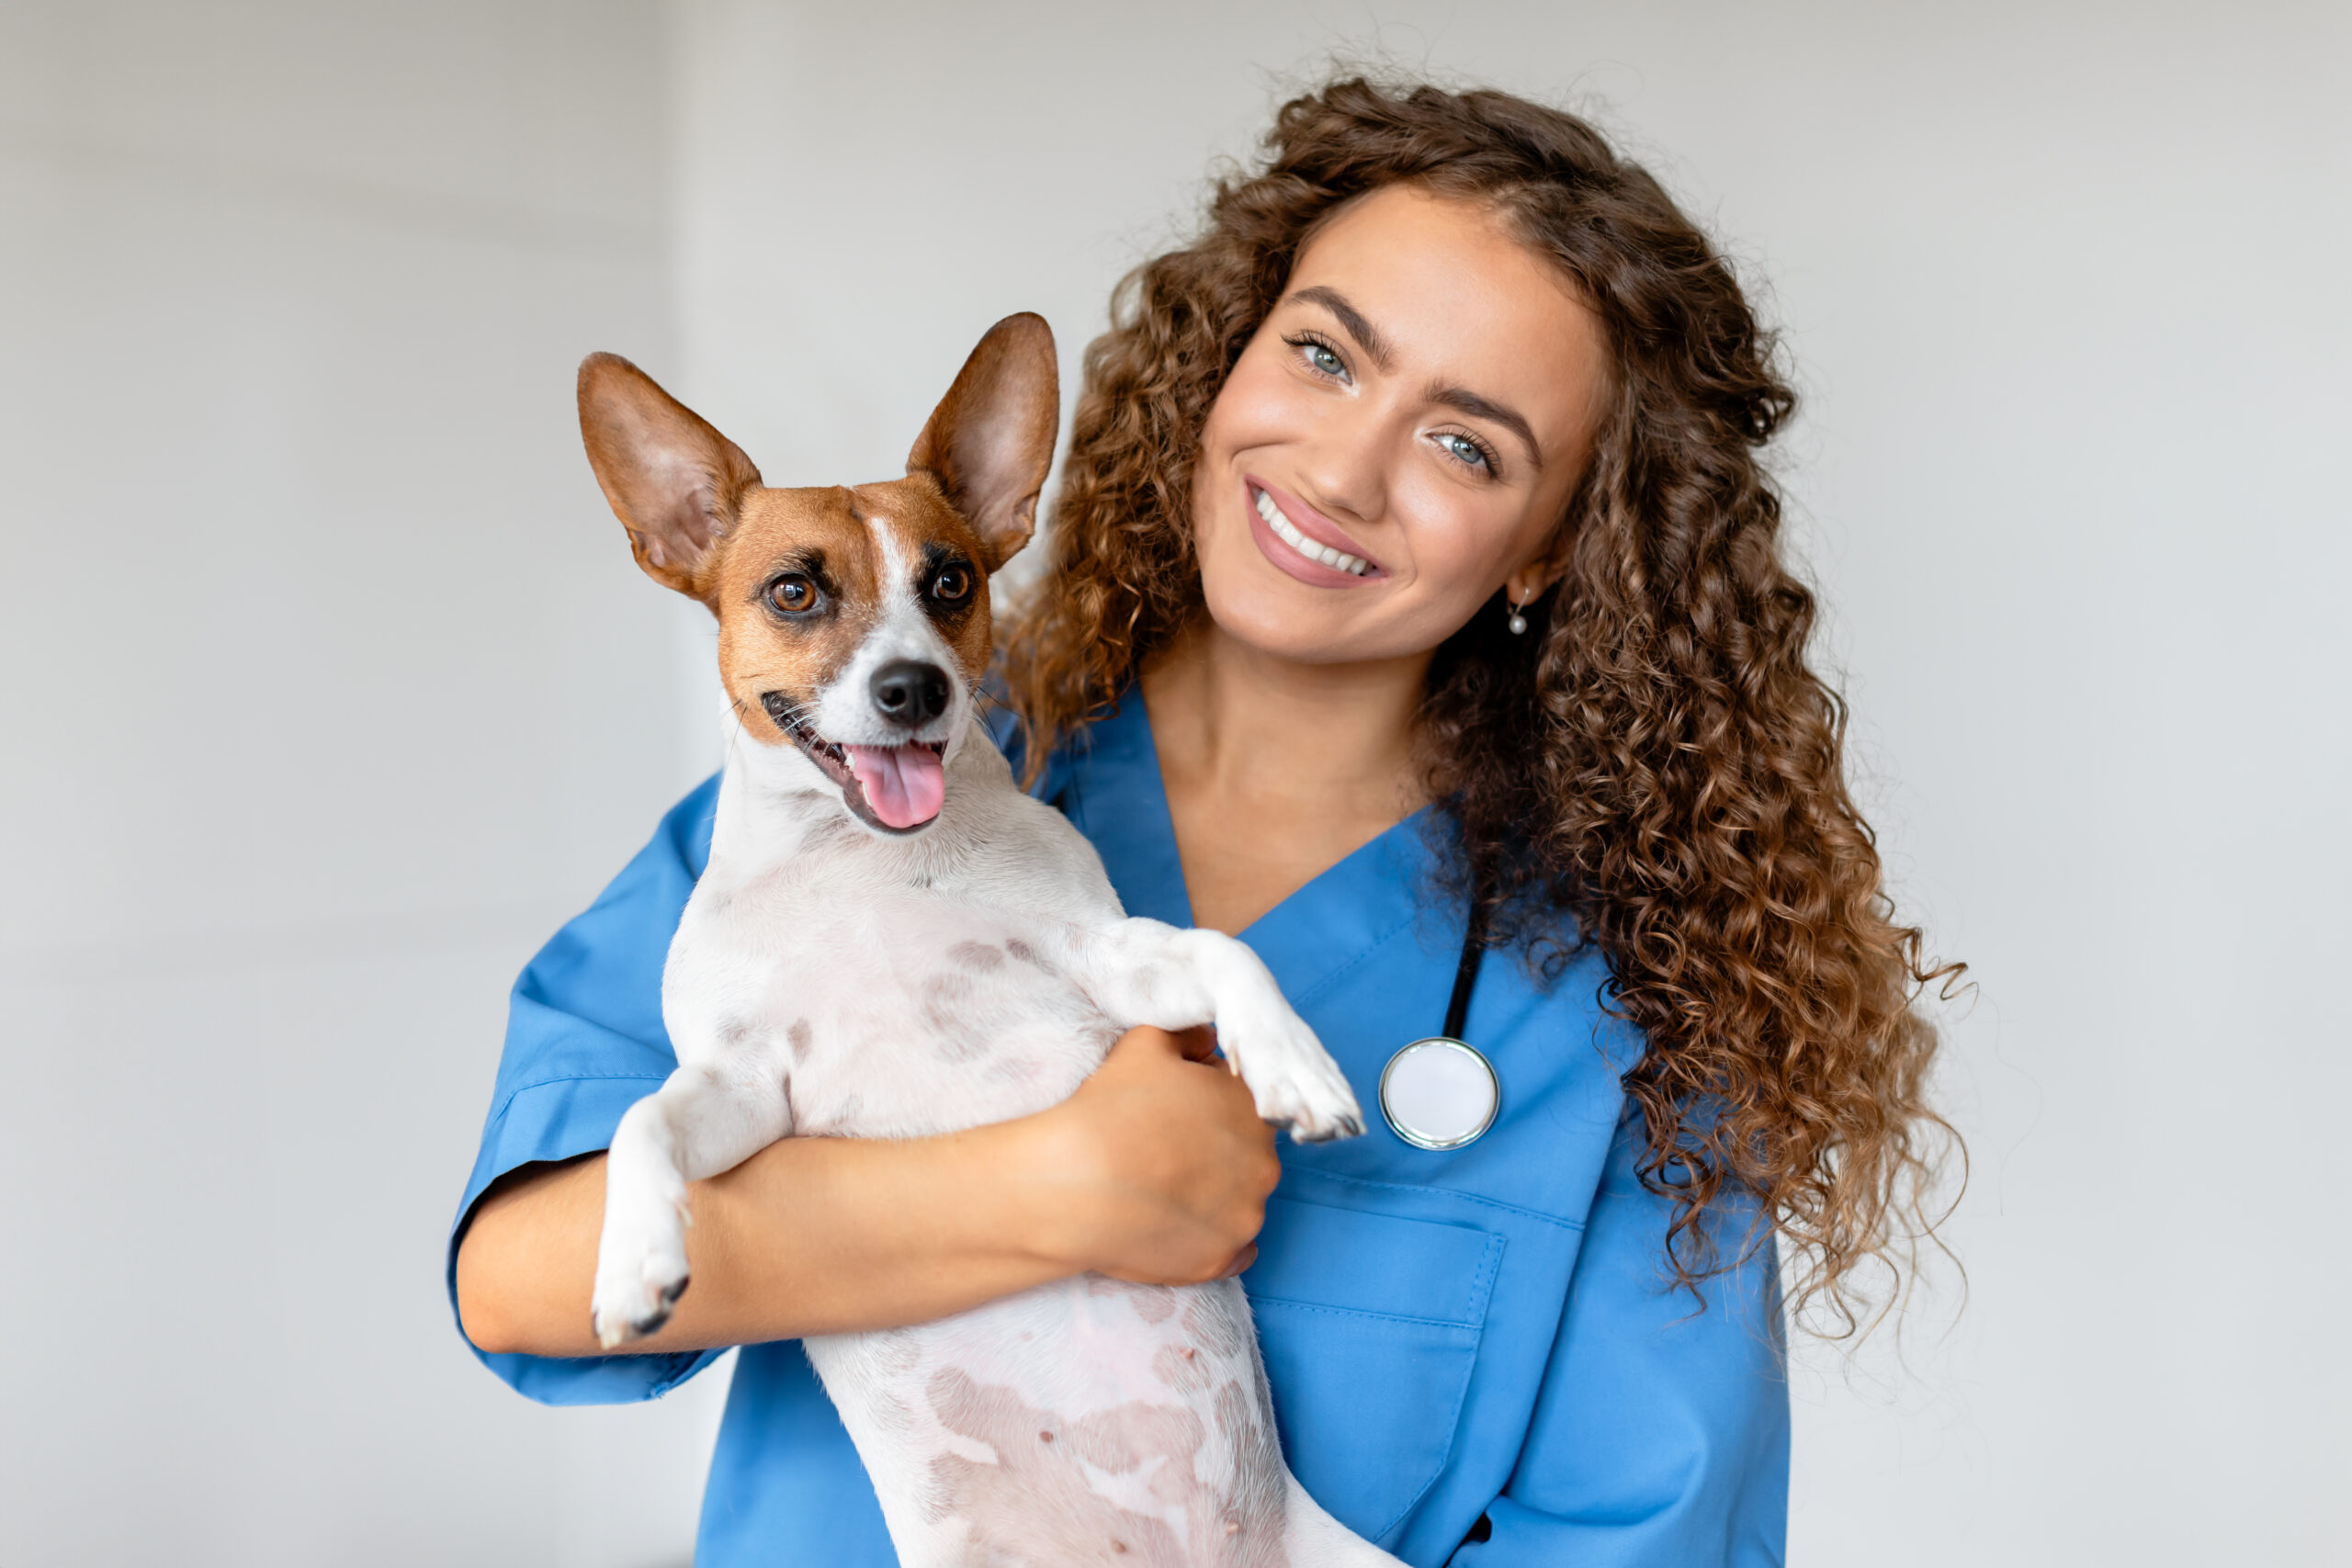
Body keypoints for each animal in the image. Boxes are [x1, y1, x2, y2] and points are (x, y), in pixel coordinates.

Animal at [578, 312, 1401, 1561]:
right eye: (793, 591)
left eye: (951, 580)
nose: (913, 688)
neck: (861, 861)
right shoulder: (743, 1088)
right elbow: (639, 1121)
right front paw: (636, 1259)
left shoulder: (1104, 960)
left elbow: (1228, 951)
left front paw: (1294, 1065)